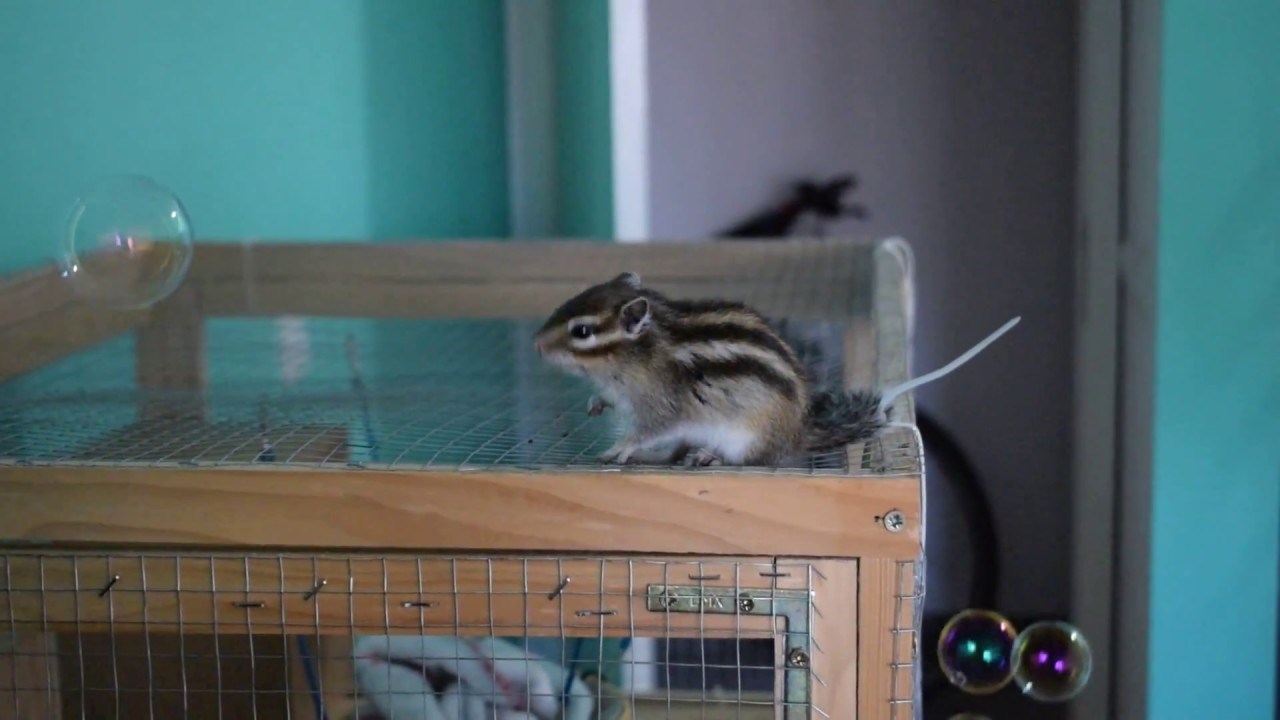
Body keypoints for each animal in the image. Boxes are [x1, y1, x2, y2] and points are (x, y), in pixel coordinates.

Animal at [533, 272, 1018, 467]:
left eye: (581, 332)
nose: (536, 344)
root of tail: (797, 433)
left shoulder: (661, 405)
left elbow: (647, 430)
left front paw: (620, 448)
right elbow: (611, 403)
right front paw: (596, 404)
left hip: (743, 436)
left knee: (745, 459)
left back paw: (708, 456)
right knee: (674, 453)